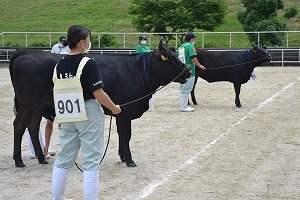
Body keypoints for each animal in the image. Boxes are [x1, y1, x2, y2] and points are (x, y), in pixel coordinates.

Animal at [9, 39, 190, 167]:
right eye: (171, 59)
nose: (187, 71)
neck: (138, 71)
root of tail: (26, 52)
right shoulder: (125, 111)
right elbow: (126, 134)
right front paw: (129, 160)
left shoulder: (120, 111)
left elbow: (121, 134)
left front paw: (122, 156)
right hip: (28, 103)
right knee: (19, 125)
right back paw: (18, 161)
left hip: (38, 105)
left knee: (32, 126)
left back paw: (41, 158)